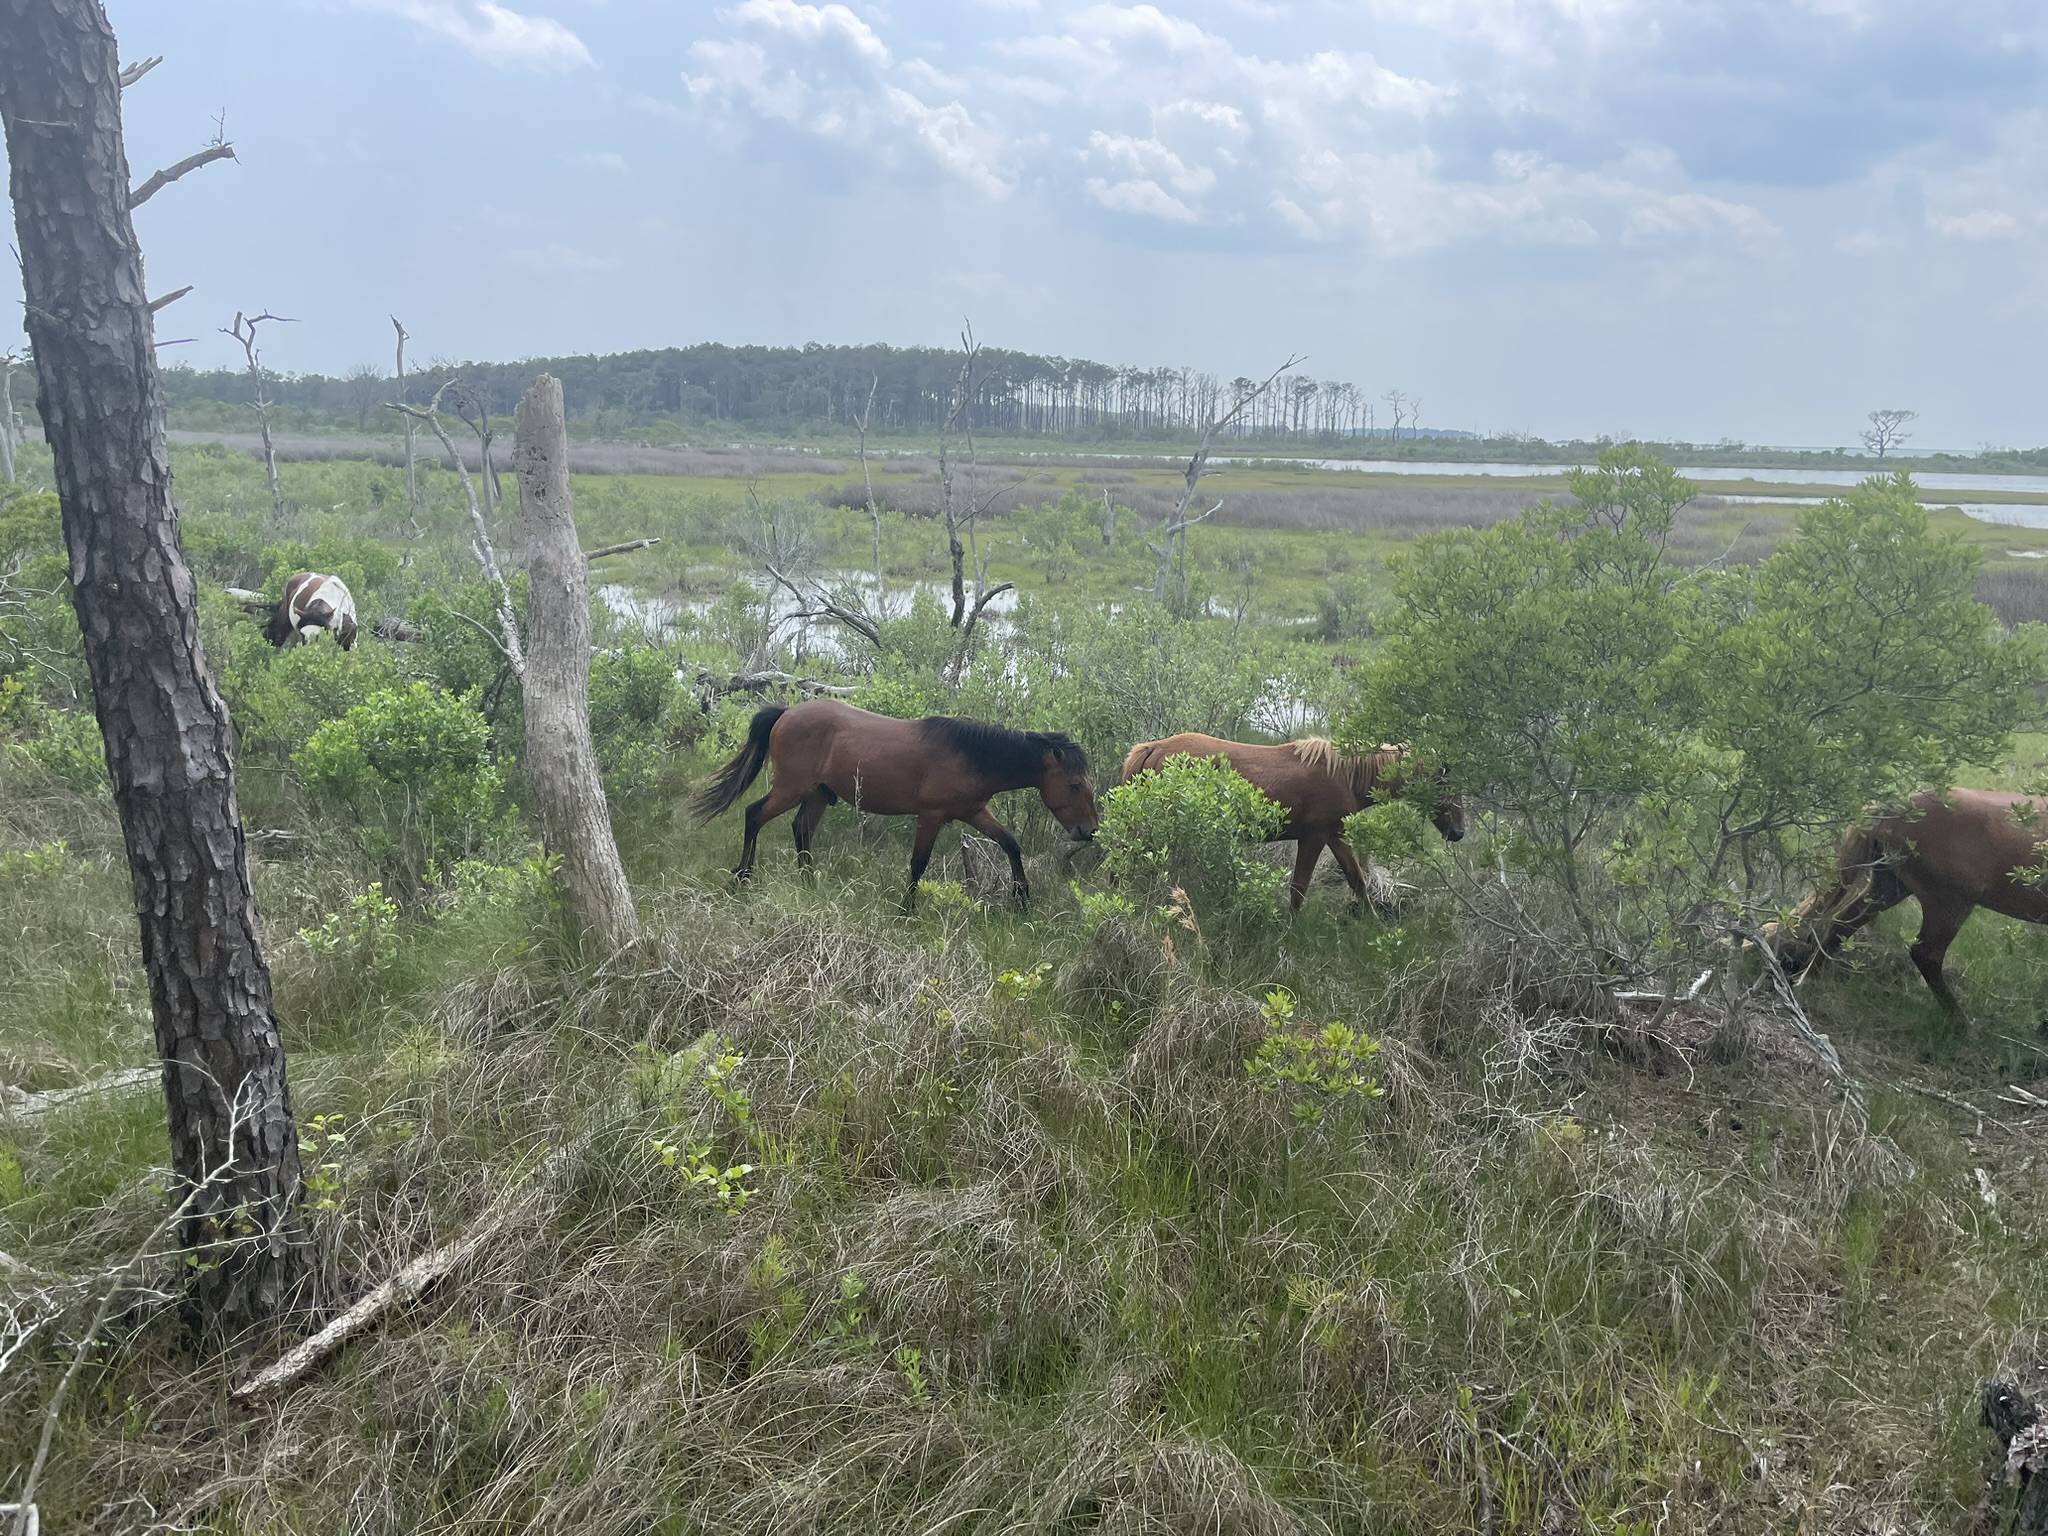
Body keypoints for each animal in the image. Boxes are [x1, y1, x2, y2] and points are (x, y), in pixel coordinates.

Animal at [691, 699, 1101, 911]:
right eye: (1075, 785)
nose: (1089, 830)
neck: (971, 755)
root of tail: (787, 712)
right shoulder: (931, 816)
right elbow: (918, 863)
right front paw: (907, 908)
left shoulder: (974, 812)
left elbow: (1011, 843)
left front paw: (1022, 897)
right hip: (791, 789)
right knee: (754, 815)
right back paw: (743, 876)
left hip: (816, 794)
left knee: (801, 830)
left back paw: (808, 883)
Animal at [1119, 734, 1466, 911]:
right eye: (1445, 786)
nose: (1459, 832)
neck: (1346, 776)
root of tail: (1152, 748)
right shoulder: (1314, 837)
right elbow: (1298, 890)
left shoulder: (1335, 835)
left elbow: (1357, 880)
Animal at [1764, 789, 2048, 1013]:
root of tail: (1888, 810)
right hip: (1949, 901)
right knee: (1925, 953)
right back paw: (1961, 1023)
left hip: (1890, 886)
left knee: (1840, 924)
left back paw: (1807, 980)